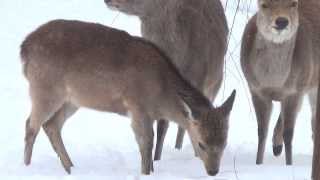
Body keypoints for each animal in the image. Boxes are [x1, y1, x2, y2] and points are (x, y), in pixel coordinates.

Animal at [20, 20, 235, 176]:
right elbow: (146, 143)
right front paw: (145, 173)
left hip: (72, 99)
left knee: (52, 125)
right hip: (44, 88)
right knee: (31, 125)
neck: (161, 96)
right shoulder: (137, 106)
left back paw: (71, 168)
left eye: (224, 142)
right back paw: (28, 168)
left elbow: (148, 143)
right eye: (201, 144)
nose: (213, 171)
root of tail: (24, 48)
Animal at [241, 0, 318, 166]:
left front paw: (289, 165)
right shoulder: (256, 90)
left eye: (294, 3)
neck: (274, 82)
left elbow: (289, 134)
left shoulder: (295, 91)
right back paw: (276, 147)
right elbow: (261, 132)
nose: (282, 21)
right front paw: (258, 163)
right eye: (264, 5)